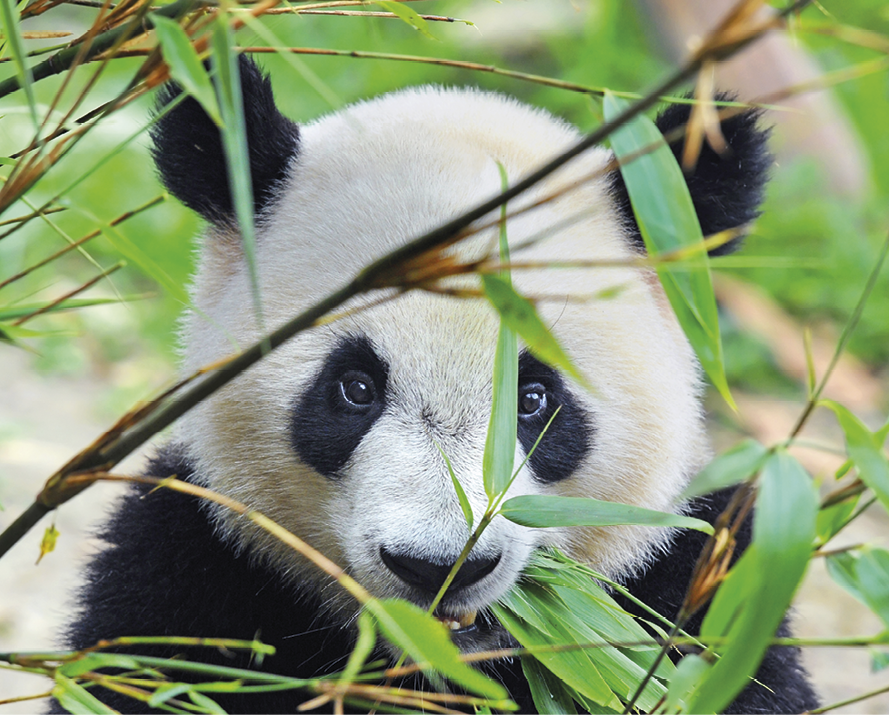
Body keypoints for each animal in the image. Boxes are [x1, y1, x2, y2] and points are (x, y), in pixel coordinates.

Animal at [45, 58, 816, 715]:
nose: (439, 566)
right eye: (354, 388)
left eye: (533, 399)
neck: (434, 661)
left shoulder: (692, 590)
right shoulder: (197, 566)